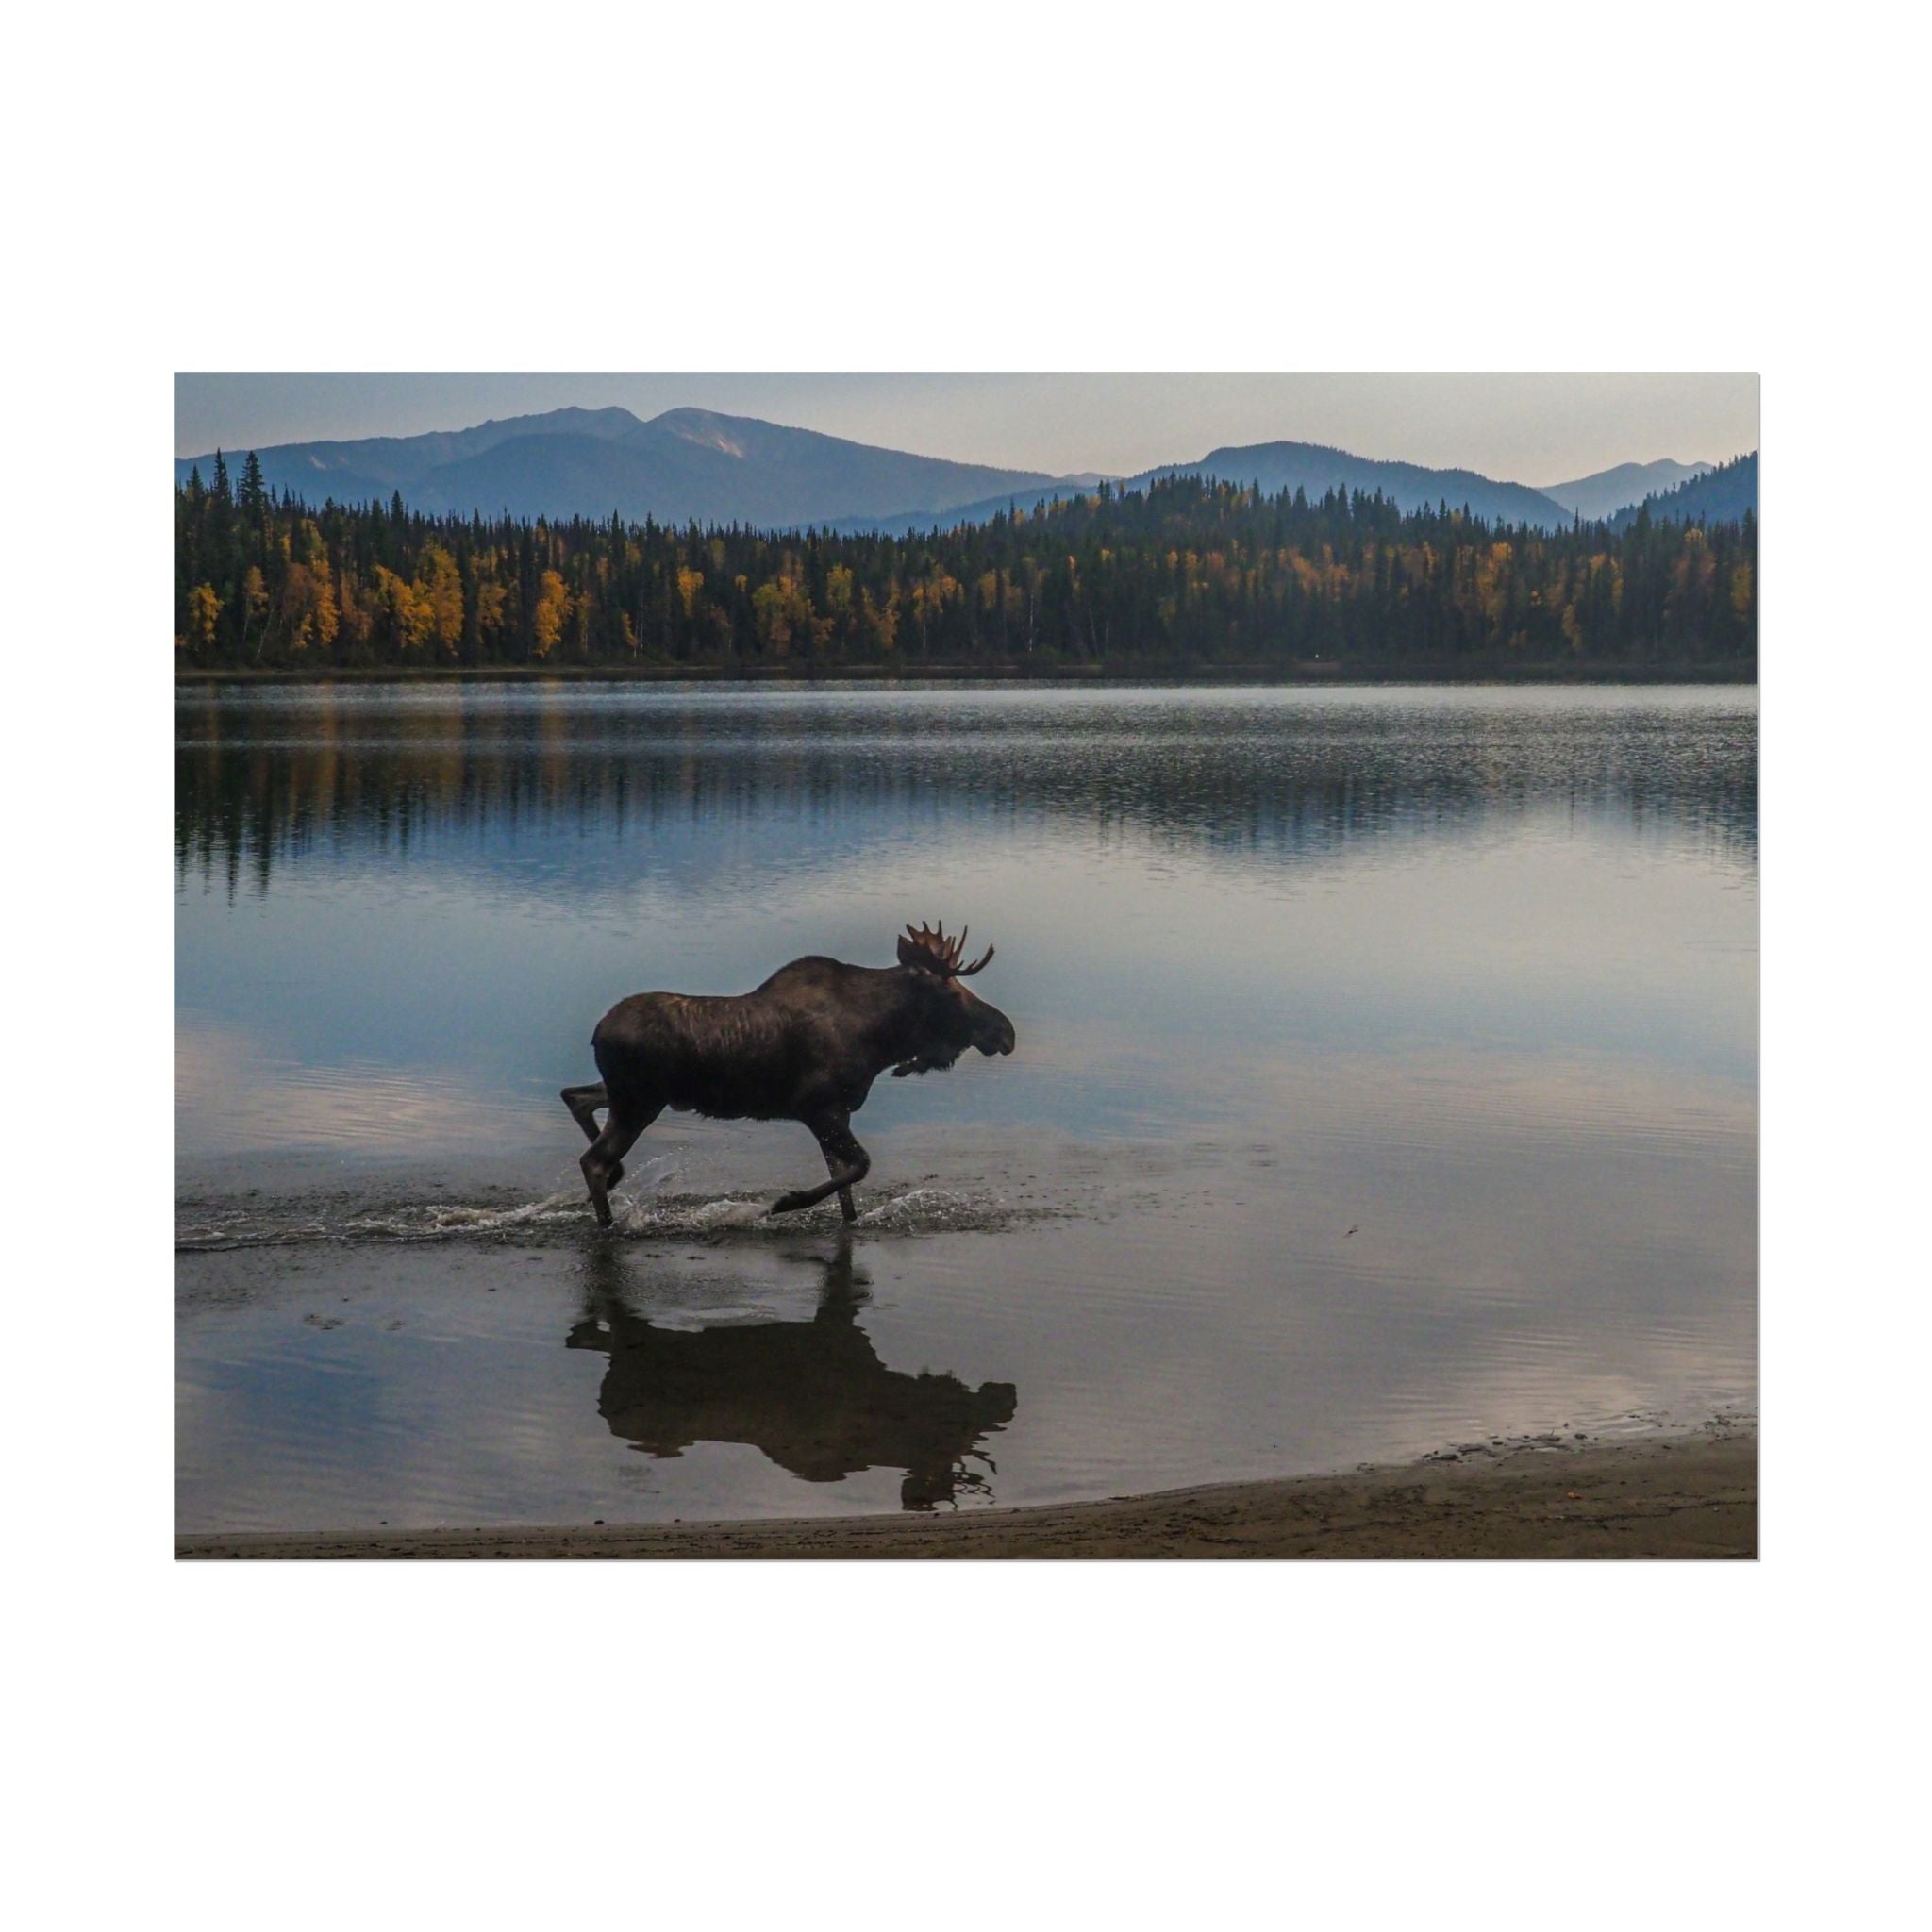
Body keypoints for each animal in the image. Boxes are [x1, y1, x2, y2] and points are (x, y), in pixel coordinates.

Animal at [561, 921, 1016, 1228]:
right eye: (950, 991)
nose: (1005, 1032)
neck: (880, 1040)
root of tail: (597, 1032)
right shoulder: (817, 1107)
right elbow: (860, 1166)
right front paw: (785, 1202)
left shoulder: (839, 1112)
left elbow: (846, 1188)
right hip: (638, 1102)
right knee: (593, 1160)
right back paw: (608, 1220)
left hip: (632, 1095)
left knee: (576, 1097)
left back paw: (616, 1180)